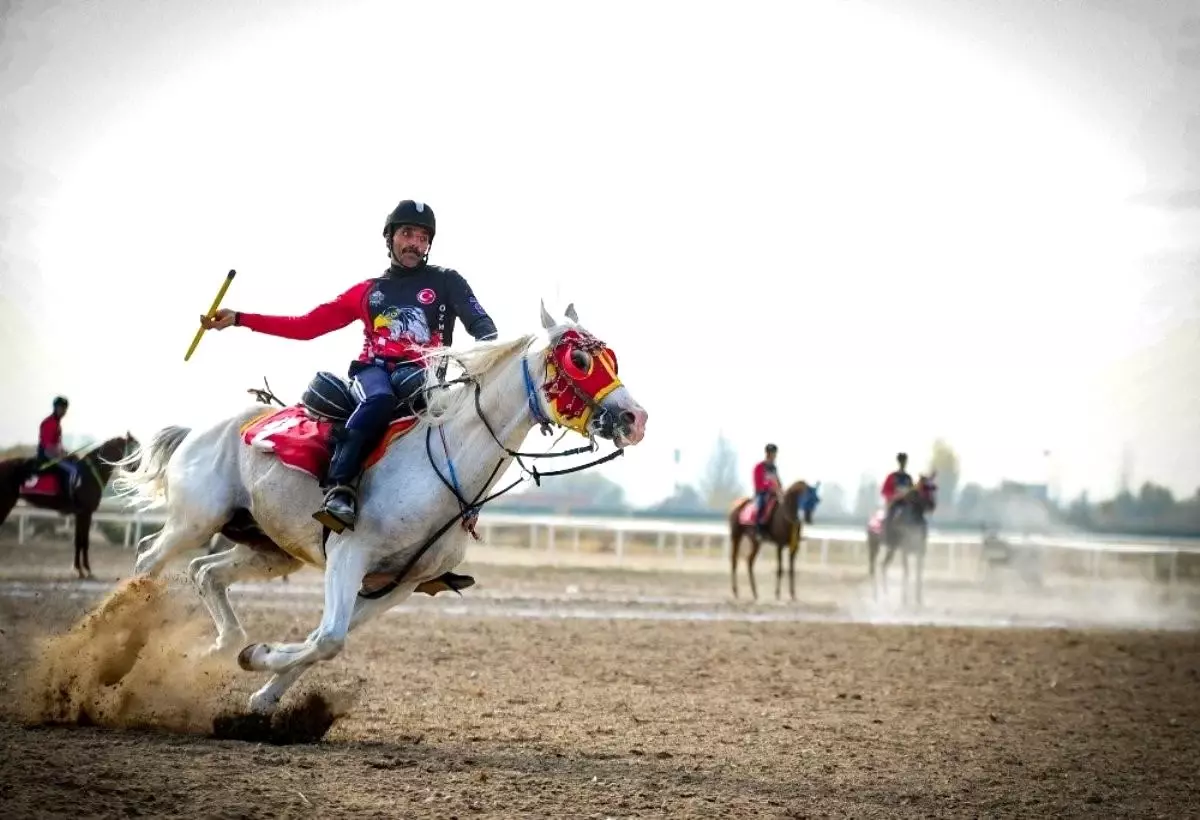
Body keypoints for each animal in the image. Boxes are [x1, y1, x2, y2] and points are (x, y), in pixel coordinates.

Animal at [0, 437, 137, 576]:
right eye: (134, 449)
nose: (137, 469)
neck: (90, 473)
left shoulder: (80, 514)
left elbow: (79, 541)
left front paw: (78, 568)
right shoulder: (86, 513)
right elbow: (83, 542)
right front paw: (85, 569)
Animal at [114, 301, 648, 710]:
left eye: (612, 359)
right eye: (579, 359)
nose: (635, 418)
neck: (441, 469)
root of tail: (201, 429)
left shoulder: (398, 584)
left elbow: (324, 641)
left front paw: (262, 690)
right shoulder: (350, 555)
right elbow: (328, 638)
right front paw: (257, 658)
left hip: (268, 548)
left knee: (205, 572)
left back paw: (220, 646)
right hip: (195, 520)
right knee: (148, 561)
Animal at [868, 477, 940, 605]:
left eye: (934, 487)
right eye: (925, 488)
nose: (932, 505)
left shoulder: (920, 551)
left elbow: (918, 574)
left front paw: (919, 601)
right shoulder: (905, 551)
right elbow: (907, 573)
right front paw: (904, 601)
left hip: (891, 549)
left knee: (883, 565)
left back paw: (885, 594)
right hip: (873, 546)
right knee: (872, 569)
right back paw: (875, 596)